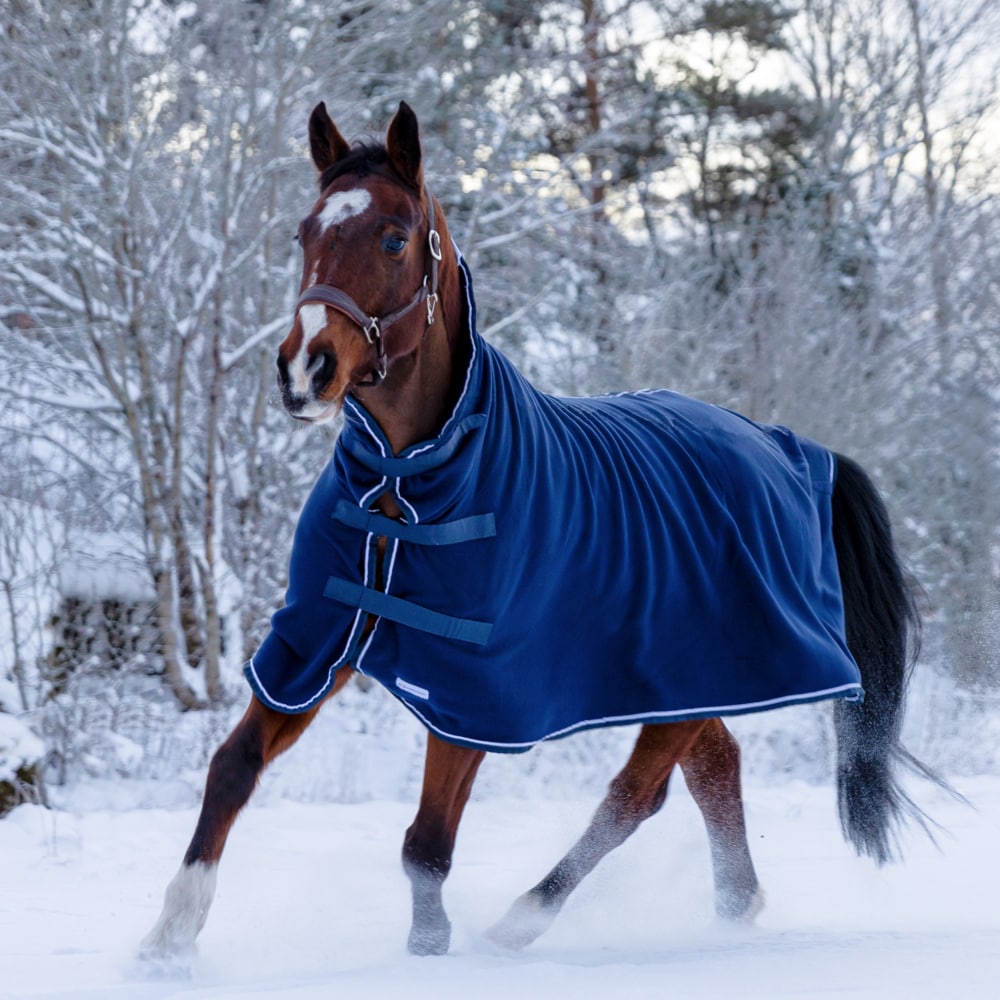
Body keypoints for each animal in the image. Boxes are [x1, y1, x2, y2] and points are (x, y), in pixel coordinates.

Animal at [139, 99, 928, 960]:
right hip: (687, 679)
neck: (407, 480)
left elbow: (427, 843)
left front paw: (428, 950)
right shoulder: (317, 641)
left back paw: (525, 919)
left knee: (635, 794)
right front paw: (171, 932)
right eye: (303, 232)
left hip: (695, 676)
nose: (303, 369)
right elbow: (234, 765)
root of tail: (785, 445)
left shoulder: (473, 687)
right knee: (714, 767)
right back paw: (733, 905)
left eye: (393, 237)